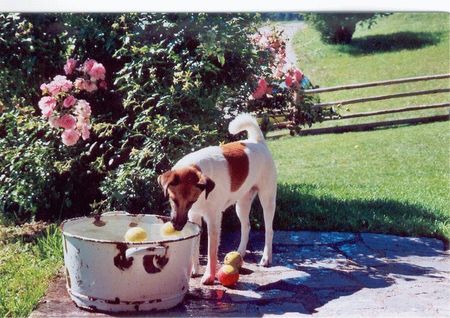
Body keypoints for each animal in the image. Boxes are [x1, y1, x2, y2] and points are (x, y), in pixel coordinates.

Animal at [158, 113, 278, 284]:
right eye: (172, 199)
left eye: (191, 201)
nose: (177, 226)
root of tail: (258, 141)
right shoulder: (194, 216)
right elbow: (194, 245)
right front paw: (194, 270)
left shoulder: (213, 219)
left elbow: (211, 250)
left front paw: (209, 276)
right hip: (242, 204)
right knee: (246, 226)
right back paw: (240, 252)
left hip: (267, 199)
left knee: (269, 230)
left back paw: (266, 258)